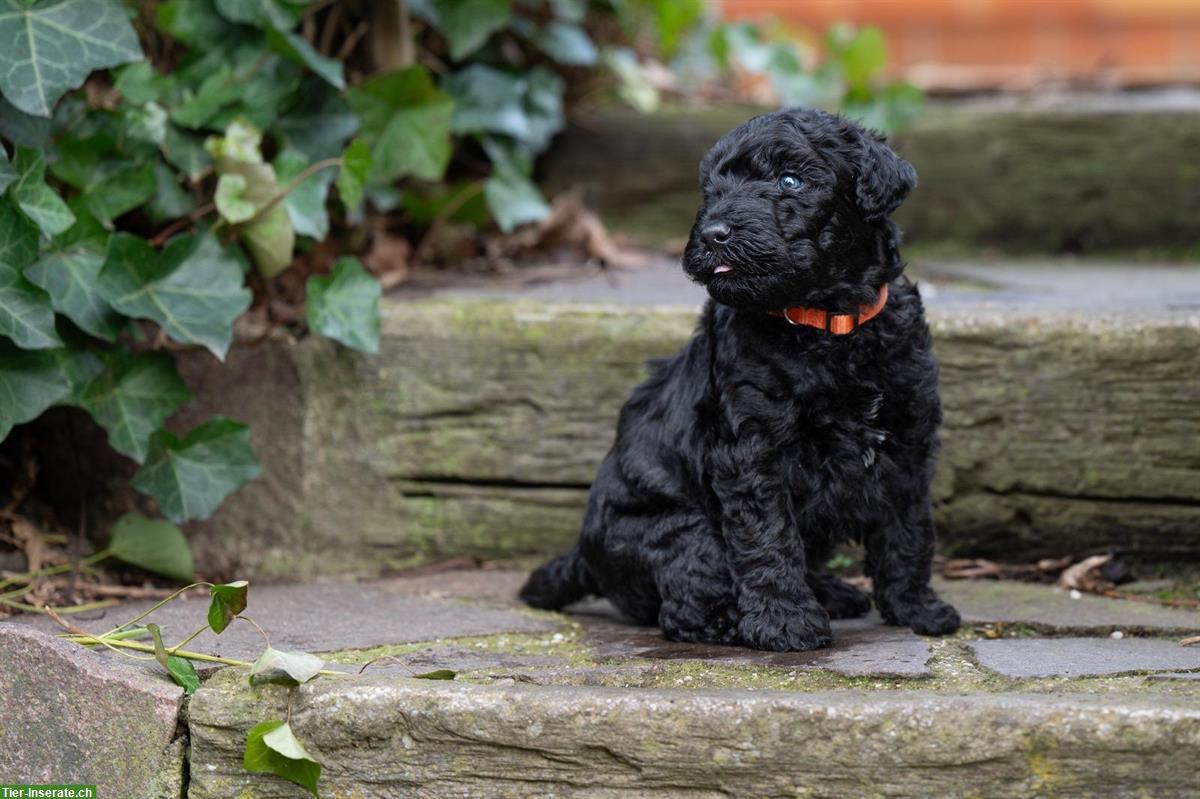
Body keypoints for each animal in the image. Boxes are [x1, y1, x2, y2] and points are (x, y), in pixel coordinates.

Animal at [520, 107, 960, 647]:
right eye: (712, 189)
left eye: (790, 180)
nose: (714, 232)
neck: (828, 327)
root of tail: (585, 556)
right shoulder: (752, 450)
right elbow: (768, 538)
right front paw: (786, 622)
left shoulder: (908, 443)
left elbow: (909, 532)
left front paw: (917, 608)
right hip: (683, 532)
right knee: (685, 604)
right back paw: (733, 622)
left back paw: (832, 594)